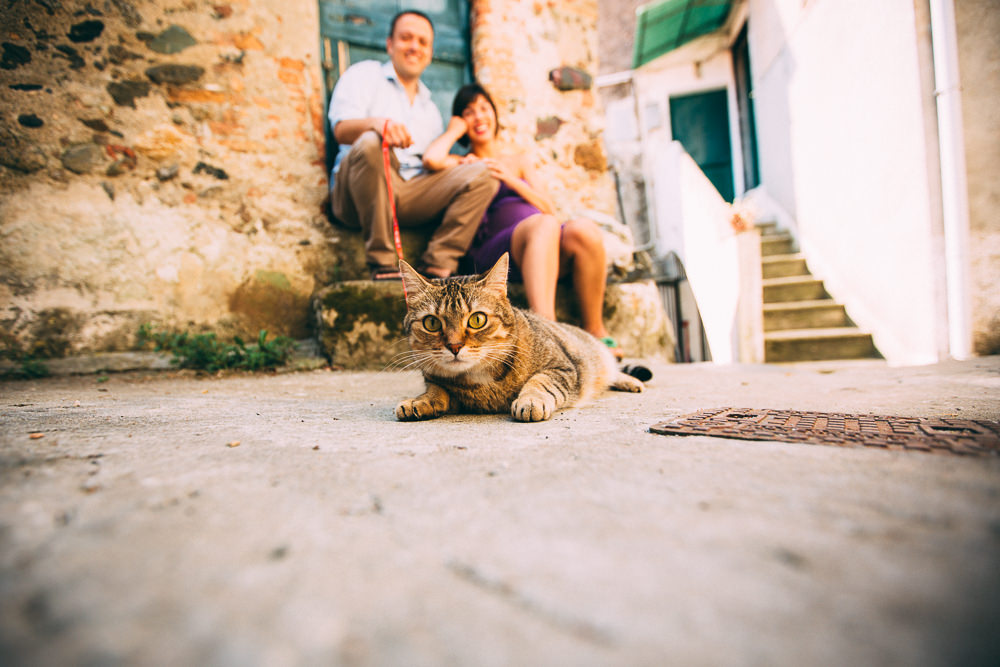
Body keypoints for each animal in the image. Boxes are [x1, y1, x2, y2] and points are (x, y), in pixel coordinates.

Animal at [390, 252, 640, 422]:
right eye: (432, 323)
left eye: (477, 320)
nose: (454, 346)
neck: (479, 380)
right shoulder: (437, 382)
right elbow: (436, 390)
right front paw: (420, 401)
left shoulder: (563, 367)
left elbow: (541, 382)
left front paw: (531, 400)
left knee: (614, 370)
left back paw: (630, 381)